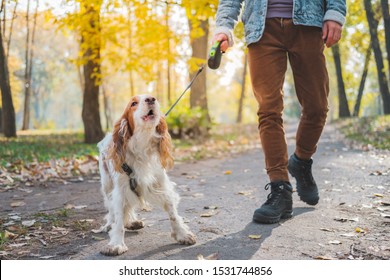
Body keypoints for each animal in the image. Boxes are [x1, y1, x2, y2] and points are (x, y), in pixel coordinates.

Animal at [96, 94, 197, 256]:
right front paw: (116, 244)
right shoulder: (120, 189)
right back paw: (109, 224)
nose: (151, 99)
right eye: (133, 103)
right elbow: (118, 218)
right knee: (111, 209)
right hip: (107, 185)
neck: (142, 145)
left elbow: (173, 213)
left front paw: (182, 234)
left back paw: (132, 222)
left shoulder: (161, 184)